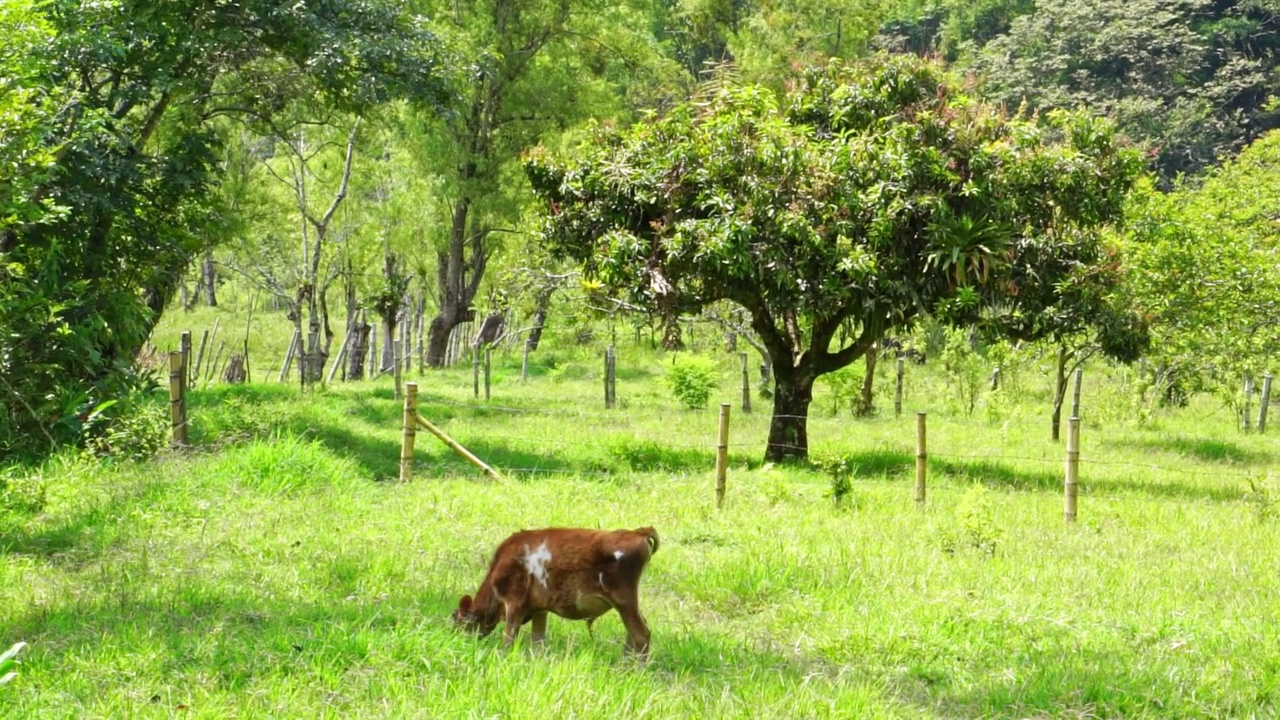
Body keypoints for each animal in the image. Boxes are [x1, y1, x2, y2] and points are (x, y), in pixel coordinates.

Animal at [455, 525, 660, 653]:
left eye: (457, 621)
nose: (456, 643)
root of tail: (637, 533)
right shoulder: (539, 609)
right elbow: (538, 641)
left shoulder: (515, 603)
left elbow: (508, 638)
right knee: (633, 635)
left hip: (624, 601)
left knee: (640, 635)